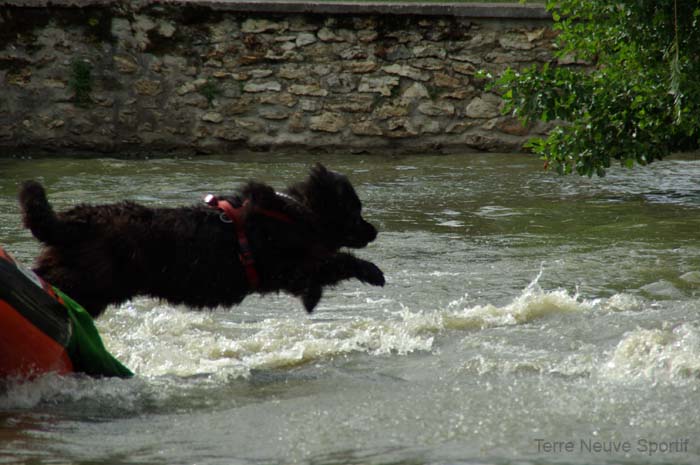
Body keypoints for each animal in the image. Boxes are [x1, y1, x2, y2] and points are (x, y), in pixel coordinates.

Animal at [19, 161, 386, 318]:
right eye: (355, 210)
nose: (374, 231)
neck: (299, 212)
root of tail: (75, 220)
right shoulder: (288, 265)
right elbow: (335, 261)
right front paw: (372, 271)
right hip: (87, 281)